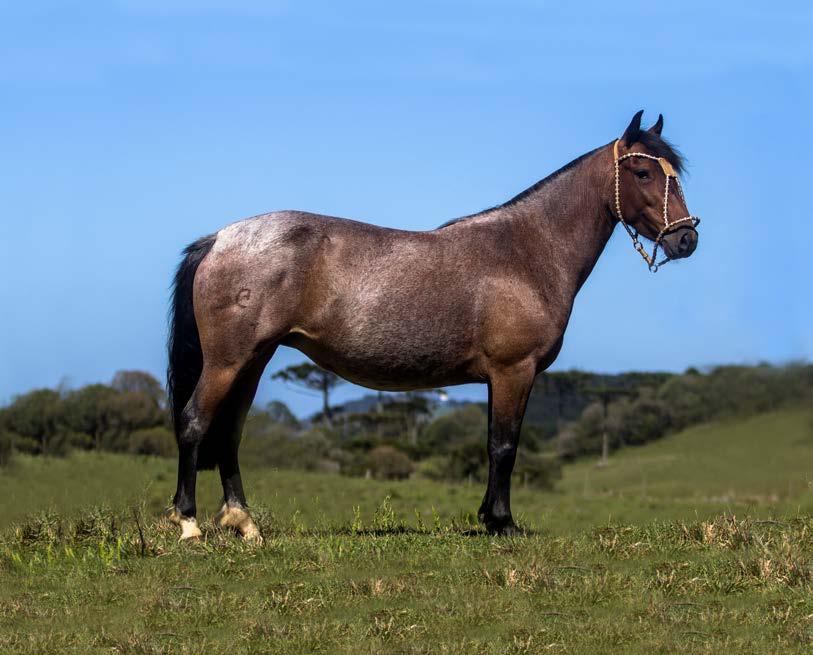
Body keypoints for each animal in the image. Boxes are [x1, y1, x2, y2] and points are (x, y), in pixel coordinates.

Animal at [163, 110, 696, 540]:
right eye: (644, 171)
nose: (686, 239)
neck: (527, 251)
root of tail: (220, 238)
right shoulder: (514, 371)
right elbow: (505, 445)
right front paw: (502, 523)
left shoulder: (499, 378)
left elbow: (495, 445)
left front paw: (489, 517)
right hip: (228, 362)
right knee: (194, 422)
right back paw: (188, 524)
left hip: (252, 361)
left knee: (229, 433)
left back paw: (244, 523)